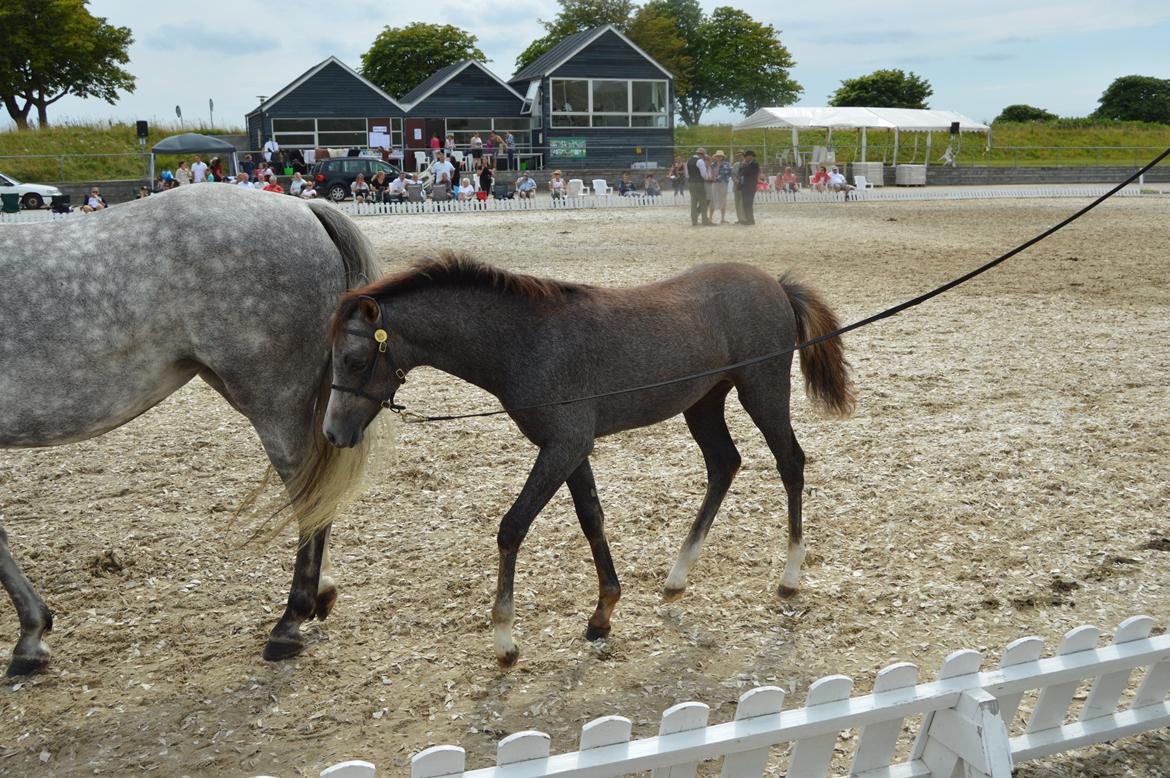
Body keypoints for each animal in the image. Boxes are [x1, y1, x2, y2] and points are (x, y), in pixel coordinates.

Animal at [0, 183, 379, 673]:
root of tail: (302, 206)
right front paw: (32, 634)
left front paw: (31, 636)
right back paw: (320, 594)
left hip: (273, 401)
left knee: (307, 494)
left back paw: (289, 622)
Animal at [325, 251, 856, 664]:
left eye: (353, 360)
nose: (333, 433)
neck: (526, 341)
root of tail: (776, 284)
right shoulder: (572, 449)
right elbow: (592, 518)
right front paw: (603, 614)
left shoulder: (563, 445)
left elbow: (512, 527)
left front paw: (505, 640)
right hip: (704, 403)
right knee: (724, 465)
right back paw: (676, 578)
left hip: (763, 391)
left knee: (790, 463)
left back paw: (789, 577)